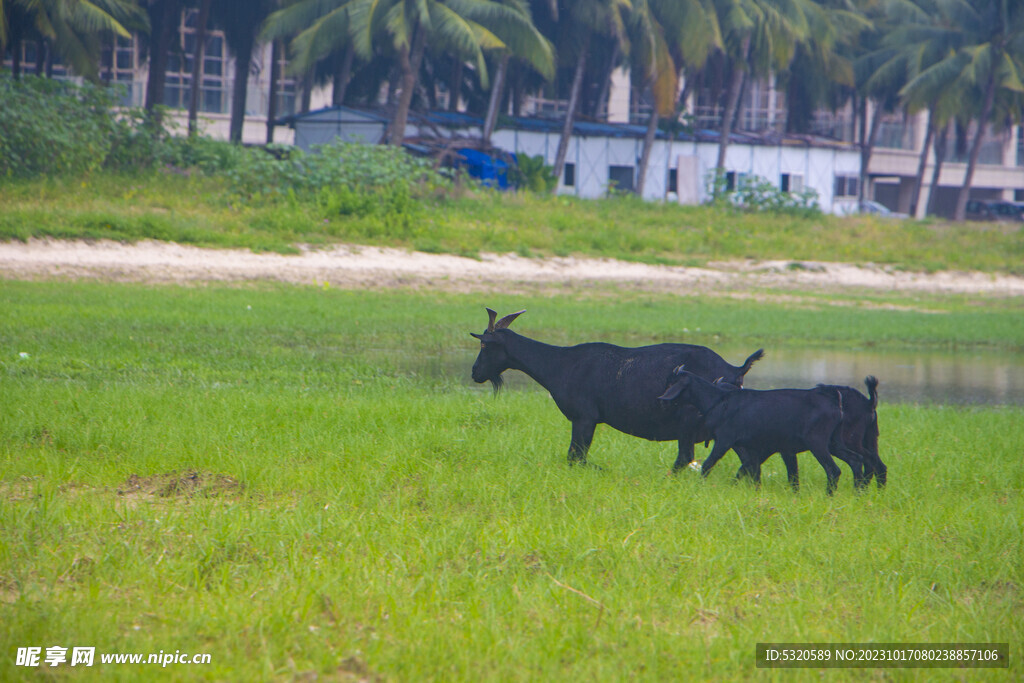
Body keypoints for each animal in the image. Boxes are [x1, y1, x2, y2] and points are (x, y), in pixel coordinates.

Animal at [468, 309, 765, 471]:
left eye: (483, 345)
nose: (475, 373)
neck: (562, 364)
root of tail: (736, 369)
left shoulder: (584, 417)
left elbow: (575, 457)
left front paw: (600, 469)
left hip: (689, 422)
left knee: (686, 457)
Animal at [655, 370, 856, 493]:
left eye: (672, 383)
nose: (662, 401)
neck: (720, 401)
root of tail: (833, 399)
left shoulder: (725, 440)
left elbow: (708, 464)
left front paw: (700, 486)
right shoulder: (751, 448)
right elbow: (753, 471)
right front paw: (754, 491)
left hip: (817, 442)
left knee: (833, 470)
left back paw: (830, 495)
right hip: (834, 442)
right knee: (855, 459)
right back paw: (858, 490)